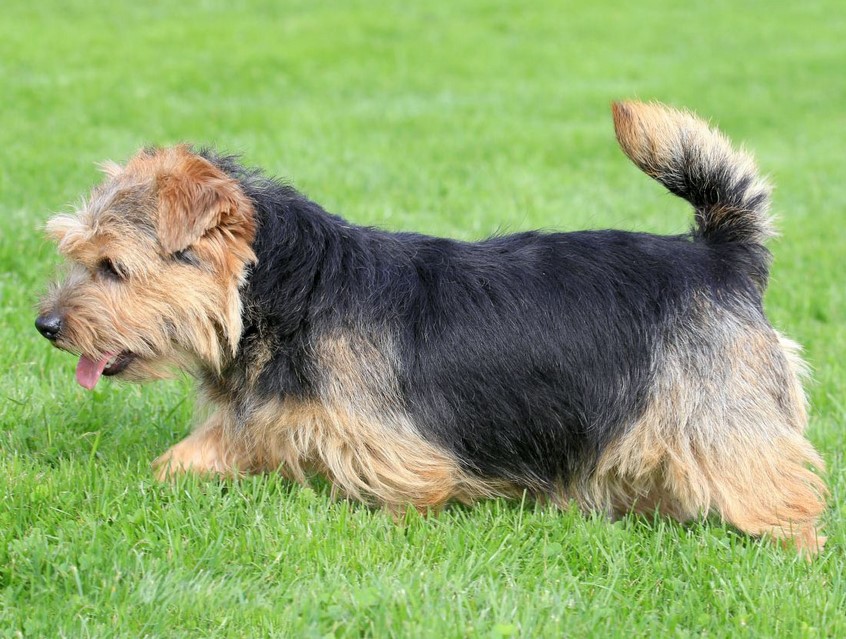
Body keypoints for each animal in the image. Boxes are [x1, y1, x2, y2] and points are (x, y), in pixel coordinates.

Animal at [38, 102, 828, 552]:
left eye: (111, 267)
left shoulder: (402, 456)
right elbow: (182, 460)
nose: (44, 324)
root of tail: (722, 256)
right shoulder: (256, 422)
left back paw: (793, 553)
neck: (286, 292)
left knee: (785, 492)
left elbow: (394, 500)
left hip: (721, 420)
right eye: (75, 254)